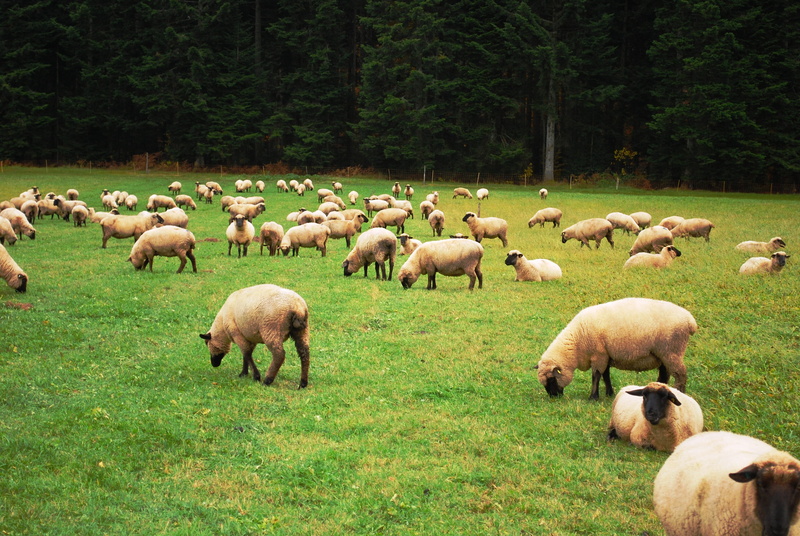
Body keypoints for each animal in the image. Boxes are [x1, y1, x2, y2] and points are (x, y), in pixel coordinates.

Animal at [535, 297, 697, 400]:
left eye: (551, 379)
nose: (554, 397)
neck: (576, 342)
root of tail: (690, 321)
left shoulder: (598, 355)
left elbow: (596, 376)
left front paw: (593, 397)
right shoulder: (606, 355)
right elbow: (606, 375)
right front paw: (609, 393)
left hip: (672, 350)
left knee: (681, 375)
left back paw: (681, 395)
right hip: (664, 354)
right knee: (665, 374)